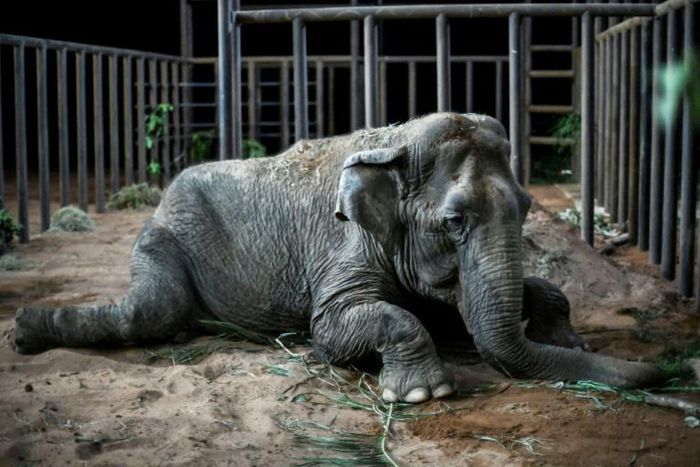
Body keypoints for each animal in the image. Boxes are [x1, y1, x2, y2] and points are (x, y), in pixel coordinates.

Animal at [13, 112, 662, 403]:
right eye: (454, 222)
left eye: (527, 206)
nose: (665, 373)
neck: (397, 145)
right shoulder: (345, 244)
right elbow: (335, 325)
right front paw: (420, 396)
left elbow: (463, 307)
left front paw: (567, 337)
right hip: (165, 235)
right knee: (152, 311)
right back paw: (23, 331)